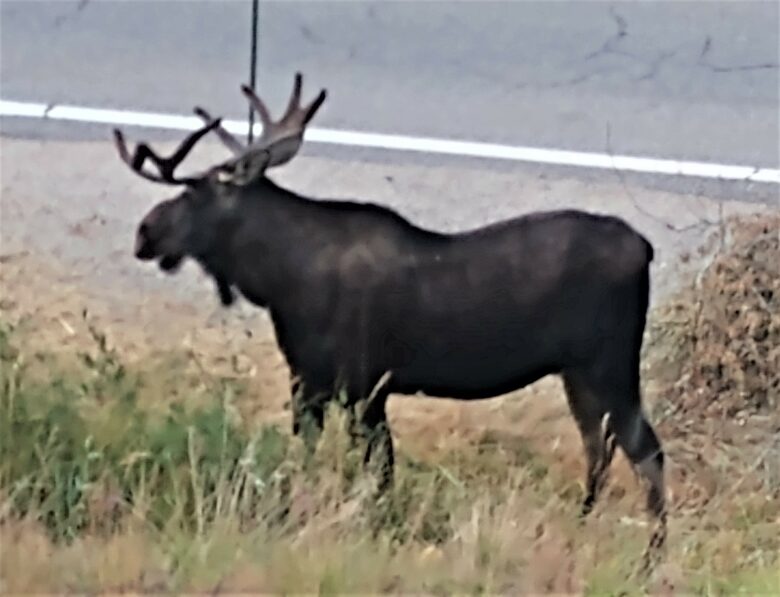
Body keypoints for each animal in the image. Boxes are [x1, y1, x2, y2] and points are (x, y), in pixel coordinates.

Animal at [112, 72, 667, 569]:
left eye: (195, 193)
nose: (144, 233)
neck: (278, 279)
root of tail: (646, 248)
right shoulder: (310, 383)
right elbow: (319, 460)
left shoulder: (363, 387)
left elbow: (378, 472)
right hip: (578, 372)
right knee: (600, 447)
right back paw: (584, 523)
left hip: (610, 363)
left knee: (646, 450)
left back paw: (650, 559)